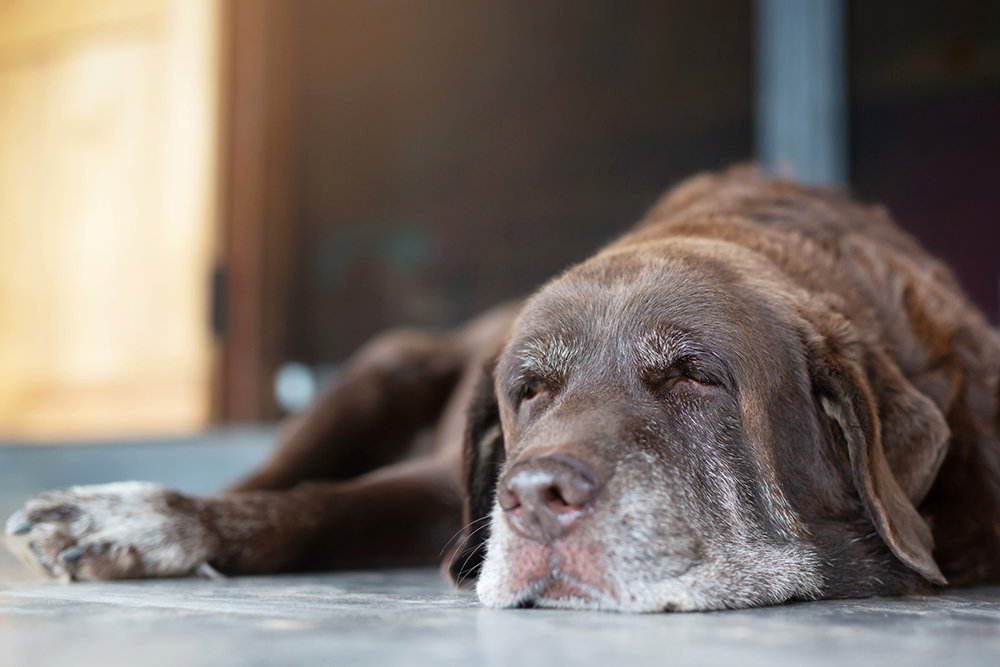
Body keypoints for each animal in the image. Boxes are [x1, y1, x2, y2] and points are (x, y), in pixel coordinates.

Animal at [5, 167, 1000, 612]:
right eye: (529, 390)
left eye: (697, 376)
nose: (534, 495)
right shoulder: (448, 496)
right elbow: (315, 505)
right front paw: (141, 522)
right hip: (383, 365)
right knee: (272, 476)